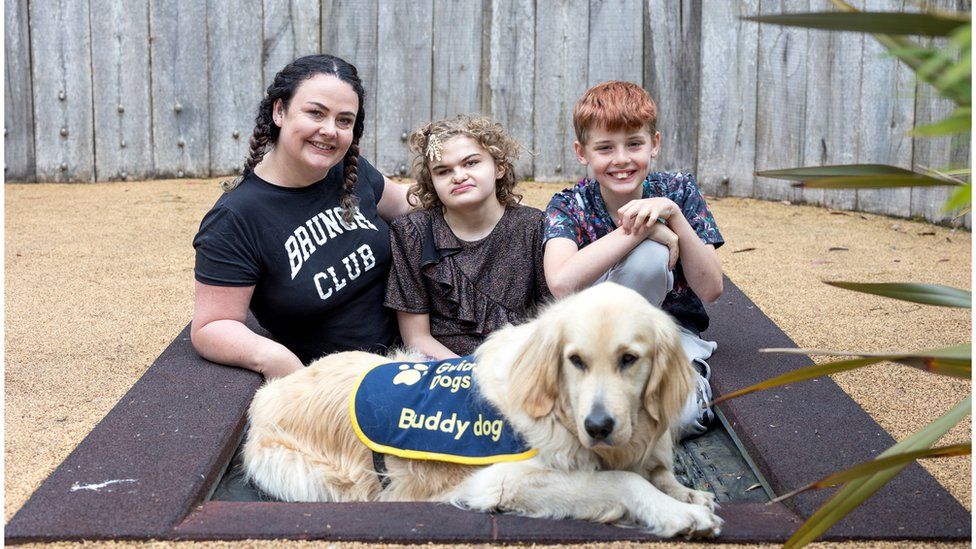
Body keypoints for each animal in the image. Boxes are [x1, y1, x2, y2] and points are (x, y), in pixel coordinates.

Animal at [240, 282, 720, 536]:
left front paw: (687, 494)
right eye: (575, 360)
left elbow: (656, 473)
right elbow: (623, 482)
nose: (598, 426)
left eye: (629, 359)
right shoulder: (503, 481)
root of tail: (269, 393)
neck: (560, 413)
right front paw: (678, 513)